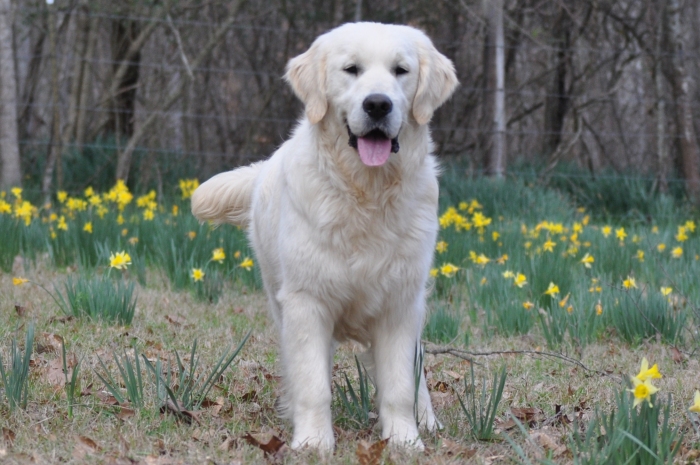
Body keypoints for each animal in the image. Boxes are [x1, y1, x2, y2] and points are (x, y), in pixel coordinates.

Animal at [191, 20, 456, 450]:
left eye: (401, 70)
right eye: (351, 69)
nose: (378, 104)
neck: (366, 194)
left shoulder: (400, 303)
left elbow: (401, 383)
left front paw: (405, 439)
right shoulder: (306, 302)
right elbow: (313, 381)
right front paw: (314, 441)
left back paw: (428, 420)